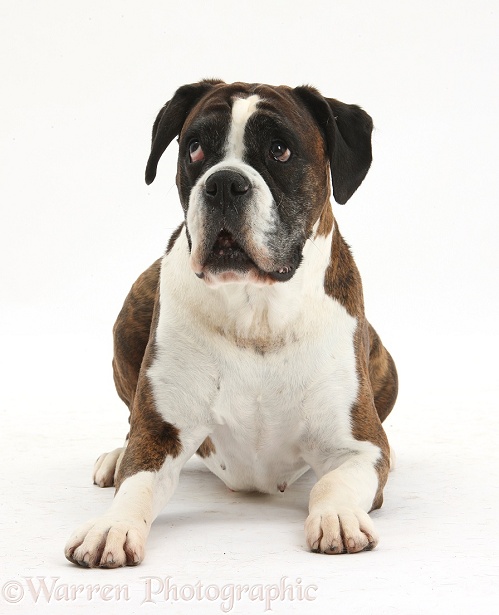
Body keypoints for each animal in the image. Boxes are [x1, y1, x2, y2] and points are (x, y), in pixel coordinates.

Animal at [64, 80, 398, 568]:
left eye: (280, 150)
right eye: (195, 148)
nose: (224, 183)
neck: (257, 313)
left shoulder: (362, 448)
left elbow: (333, 482)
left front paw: (337, 517)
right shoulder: (161, 434)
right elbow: (137, 484)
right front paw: (113, 525)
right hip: (129, 316)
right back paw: (115, 454)